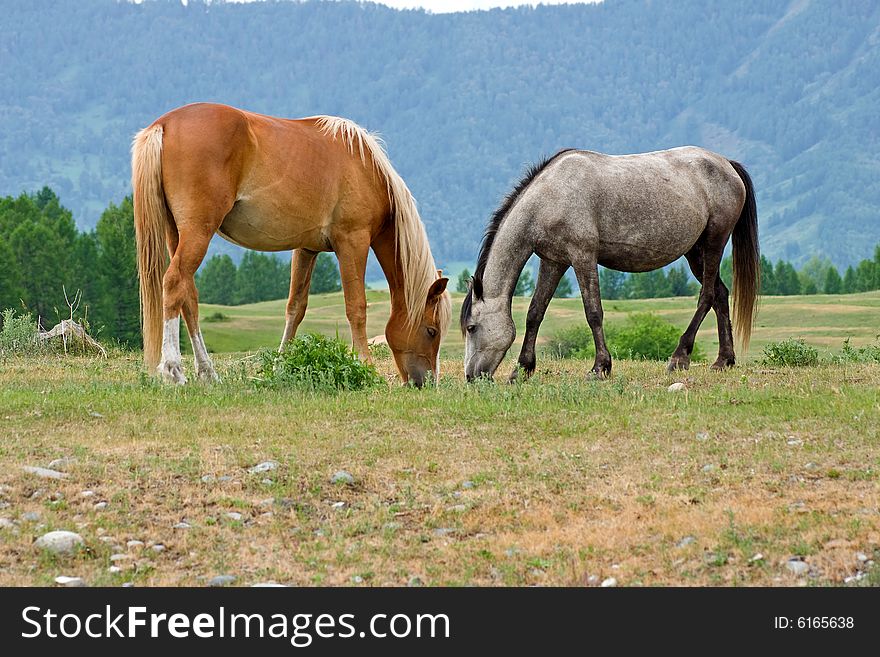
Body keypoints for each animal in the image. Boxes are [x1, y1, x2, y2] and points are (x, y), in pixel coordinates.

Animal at [131, 103, 454, 386]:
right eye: (431, 331)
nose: (424, 382)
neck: (367, 169)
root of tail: (164, 125)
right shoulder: (353, 242)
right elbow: (356, 307)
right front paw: (365, 366)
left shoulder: (306, 249)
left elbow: (295, 309)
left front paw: (280, 366)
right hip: (198, 231)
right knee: (175, 283)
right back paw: (173, 369)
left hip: (176, 234)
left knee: (188, 295)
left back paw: (208, 372)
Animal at [464, 145, 760, 380]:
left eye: (471, 327)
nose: (471, 376)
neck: (551, 196)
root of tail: (726, 164)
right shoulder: (553, 262)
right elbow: (535, 313)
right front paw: (522, 369)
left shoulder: (583, 256)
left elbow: (593, 312)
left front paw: (600, 367)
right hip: (695, 253)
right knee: (720, 294)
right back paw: (723, 360)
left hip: (713, 244)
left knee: (707, 296)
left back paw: (679, 357)